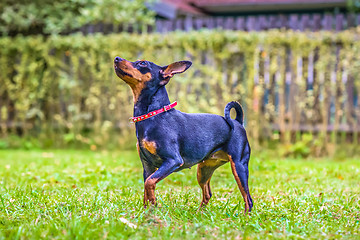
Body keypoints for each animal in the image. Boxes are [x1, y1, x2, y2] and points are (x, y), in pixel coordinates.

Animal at [113, 56, 253, 214]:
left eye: (142, 63)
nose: (117, 58)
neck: (153, 116)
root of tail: (237, 122)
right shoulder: (148, 166)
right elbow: (146, 189)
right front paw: (147, 212)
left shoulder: (173, 160)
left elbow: (149, 183)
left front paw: (154, 205)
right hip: (204, 169)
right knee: (208, 193)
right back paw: (199, 214)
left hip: (239, 166)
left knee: (248, 198)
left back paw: (245, 216)